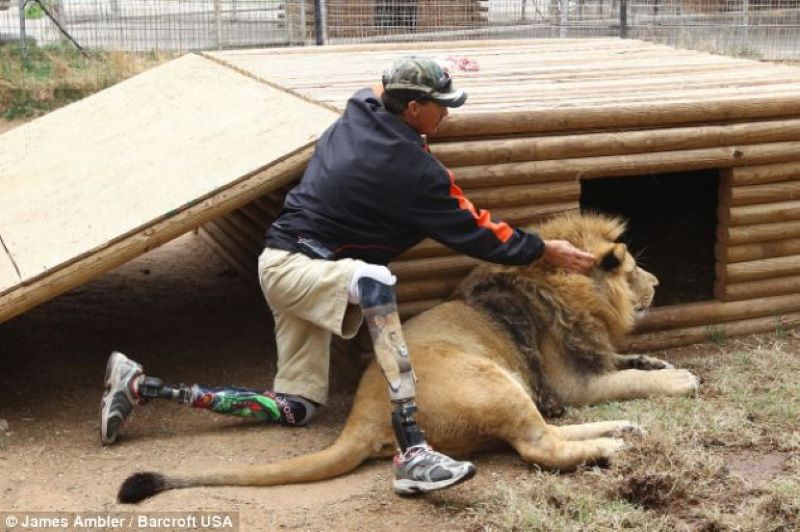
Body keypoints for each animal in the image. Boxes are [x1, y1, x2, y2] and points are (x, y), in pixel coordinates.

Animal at [119, 212, 700, 502]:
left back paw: (624, 430)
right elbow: (630, 381)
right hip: (492, 378)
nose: (658, 284)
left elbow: (633, 365)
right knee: (540, 446)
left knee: (548, 433)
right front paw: (682, 380)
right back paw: (613, 446)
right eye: (633, 271)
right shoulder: (570, 382)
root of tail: (362, 417)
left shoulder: (591, 361)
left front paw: (662, 365)